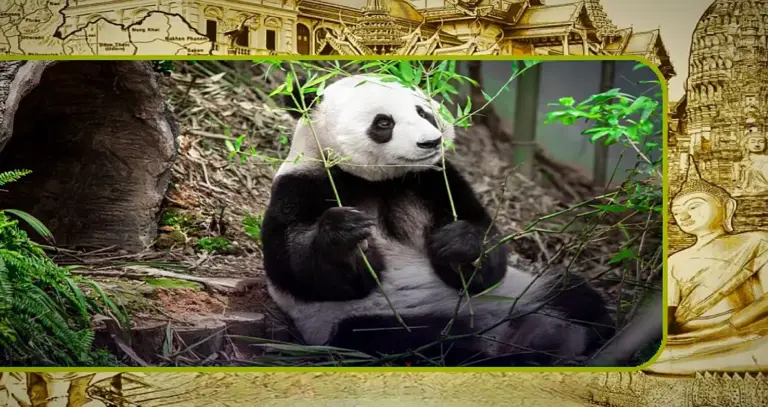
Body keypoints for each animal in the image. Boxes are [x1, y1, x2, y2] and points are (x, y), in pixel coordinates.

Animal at [261, 74, 615, 366]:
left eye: (423, 112)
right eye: (383, 123)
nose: (430, 142)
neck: (379, 180)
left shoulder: (435, 180)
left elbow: (486, 250)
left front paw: (459, 244)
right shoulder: (302, 186)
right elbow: (300, 270)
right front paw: (346, 235)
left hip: (526, 290)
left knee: (572, 295)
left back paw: (569, 341)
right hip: (370, 319)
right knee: (408, 344)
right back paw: (497, 353)